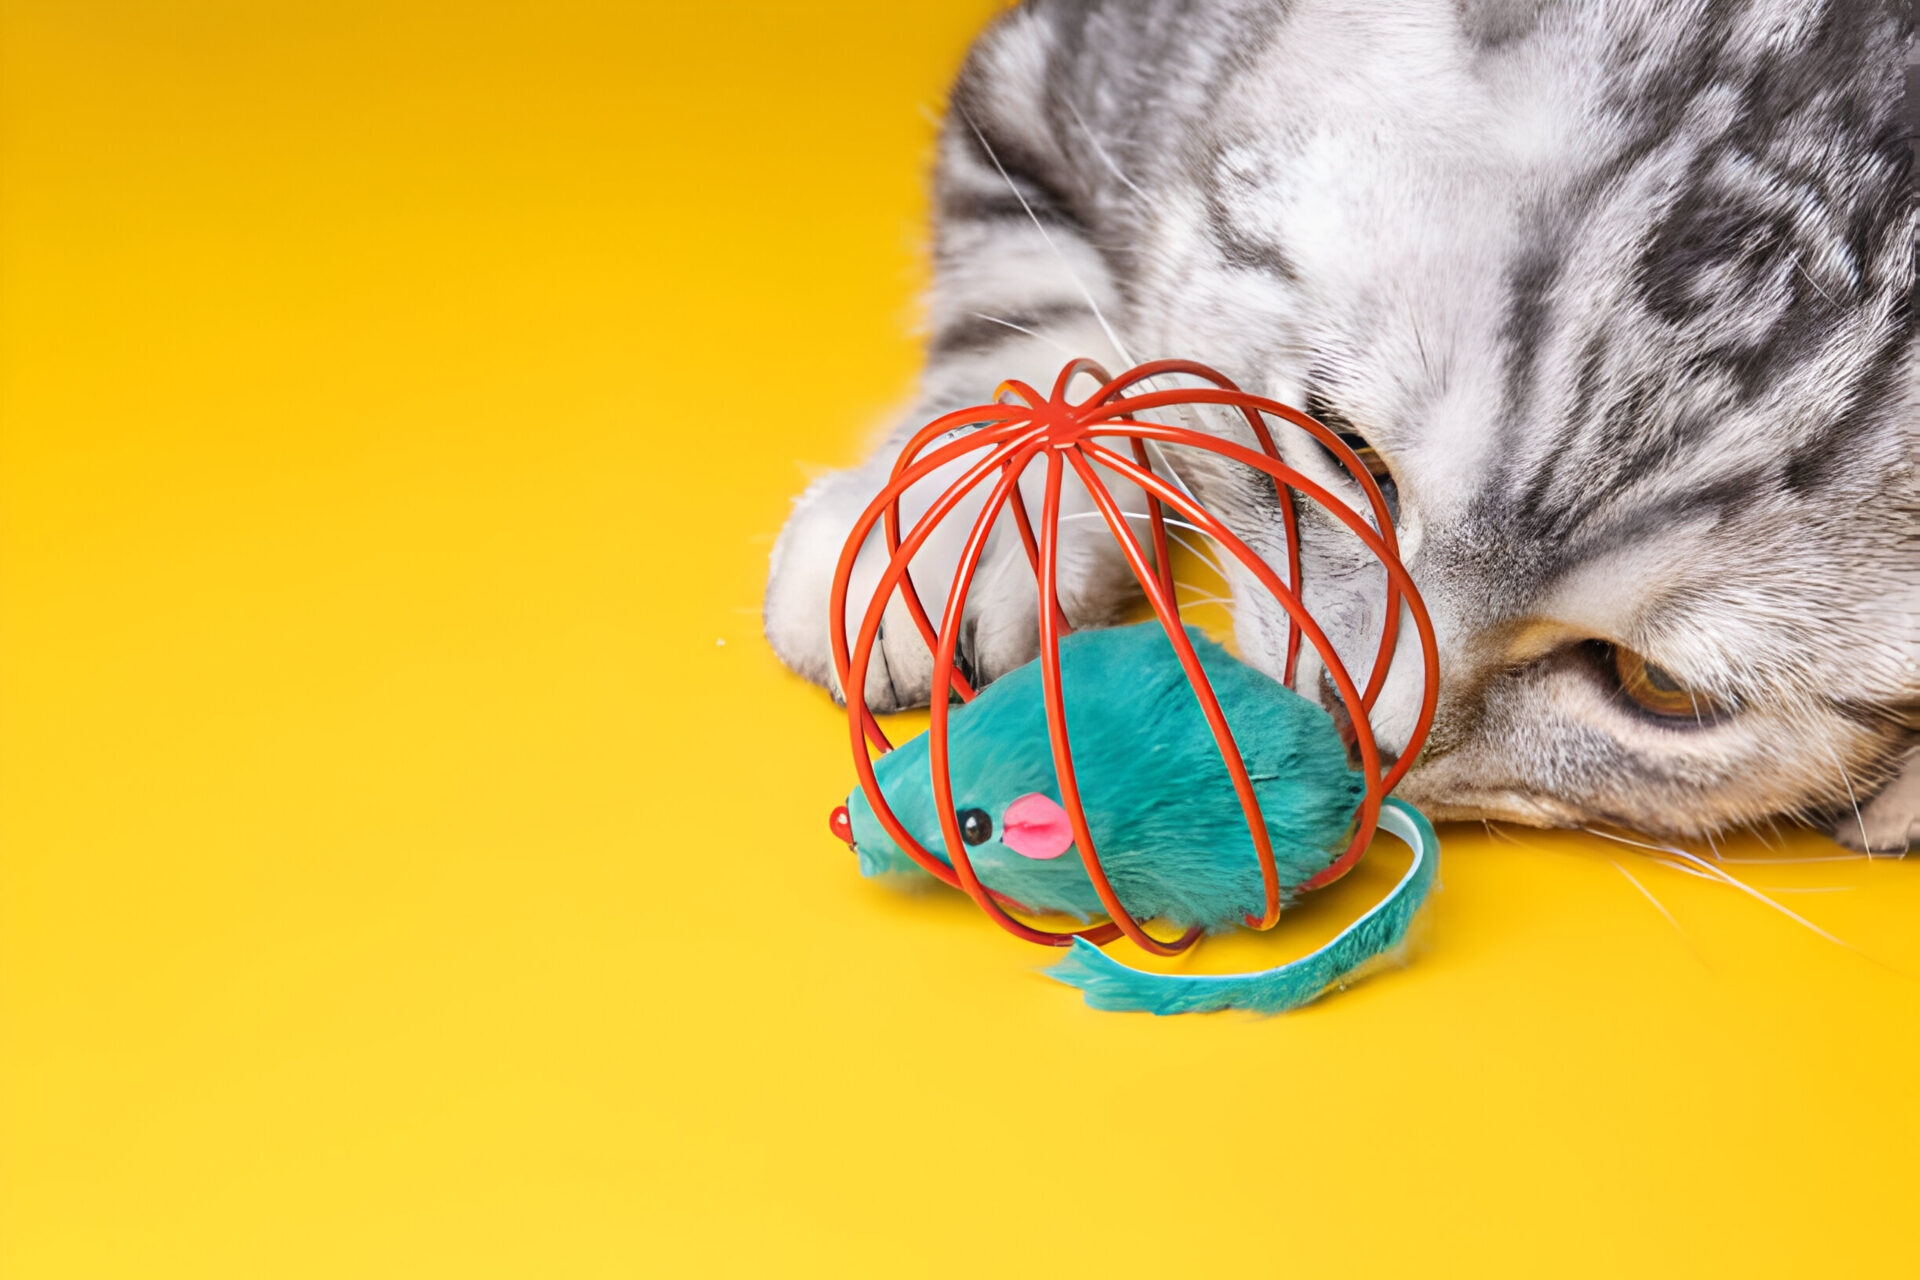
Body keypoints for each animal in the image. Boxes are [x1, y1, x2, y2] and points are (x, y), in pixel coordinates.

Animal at [756, 5, 1912, 855]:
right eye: (1346, 448)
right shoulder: (1052, 74)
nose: (1352, 730)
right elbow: (1031, 317)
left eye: (1659, 689)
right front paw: (965, 533)